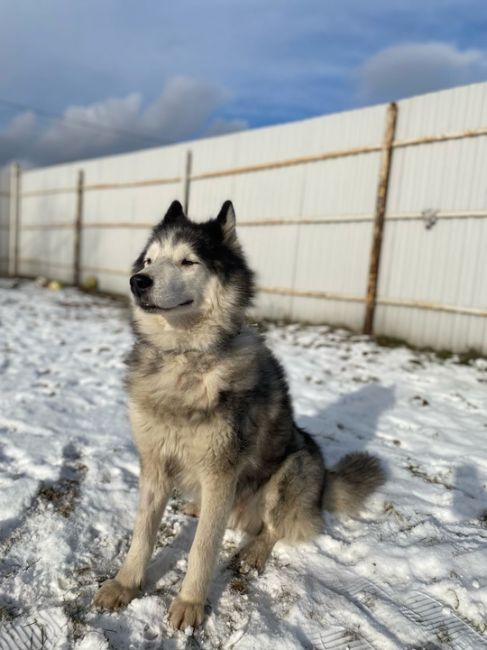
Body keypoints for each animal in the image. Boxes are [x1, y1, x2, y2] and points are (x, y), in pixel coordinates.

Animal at [93, 199, 386, 628]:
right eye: (149, 260)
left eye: (187, 261)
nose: (137, 281)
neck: (184, 359)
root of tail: (324, 484)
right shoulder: (153, 462)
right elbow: (142, 534)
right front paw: (125, 584)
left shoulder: (221, 471)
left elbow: (202, 548)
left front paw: (190, 604)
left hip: (293, 467)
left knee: (275, 528)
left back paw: (253, 551)